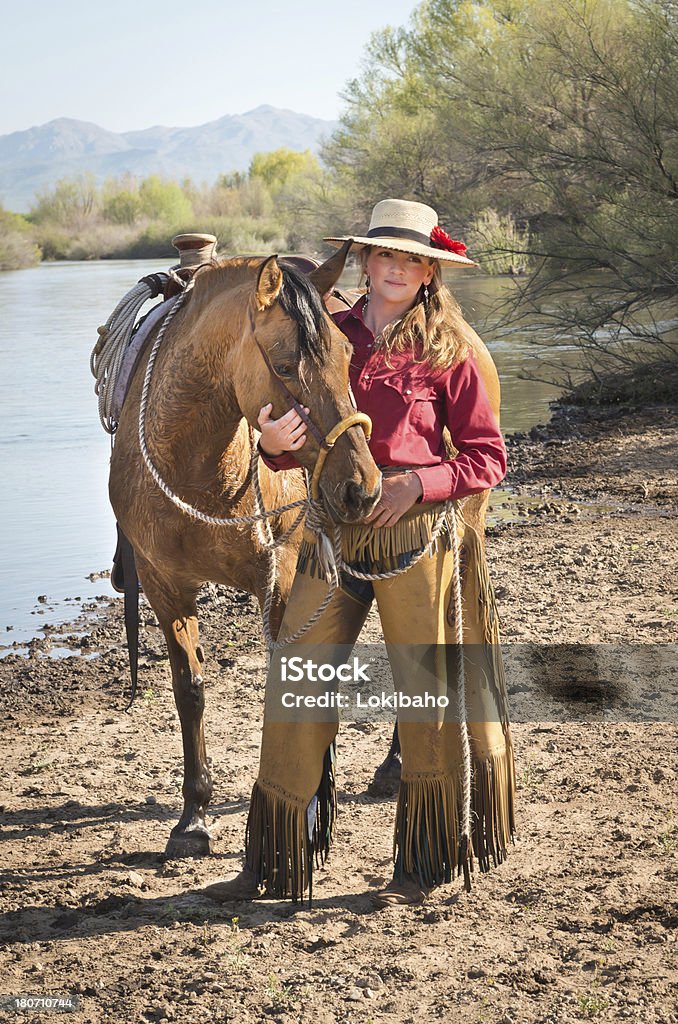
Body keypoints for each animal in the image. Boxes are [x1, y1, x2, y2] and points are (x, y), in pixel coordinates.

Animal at [107, 245, 383, 856]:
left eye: (349, 354)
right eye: (283, 367)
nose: (362, 487)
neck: (198, 471)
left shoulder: (281, 575)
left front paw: (306, 810)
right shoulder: (163, 584)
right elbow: (189, 689)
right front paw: (193, 817)